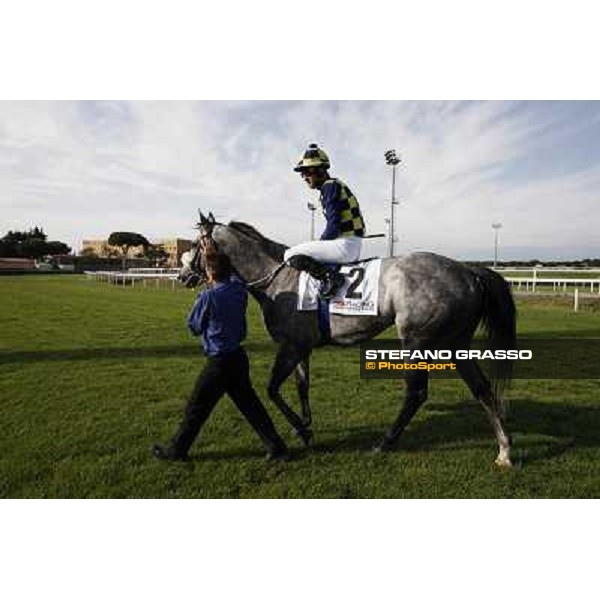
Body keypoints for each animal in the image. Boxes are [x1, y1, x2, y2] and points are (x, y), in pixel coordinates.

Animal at [182, 212, 516, 468]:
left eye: (196, 244)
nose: (183, 276)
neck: (276, 279)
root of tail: (467, 271)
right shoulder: (301, 347)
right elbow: (302, 386)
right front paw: (305, 426)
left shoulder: (290, 347)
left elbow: (272, 389)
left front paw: (302, 430)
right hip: (455, 344)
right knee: (482, 389)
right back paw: (504, 451)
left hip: (416, 341)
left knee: (416, 393)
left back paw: (385, 442)